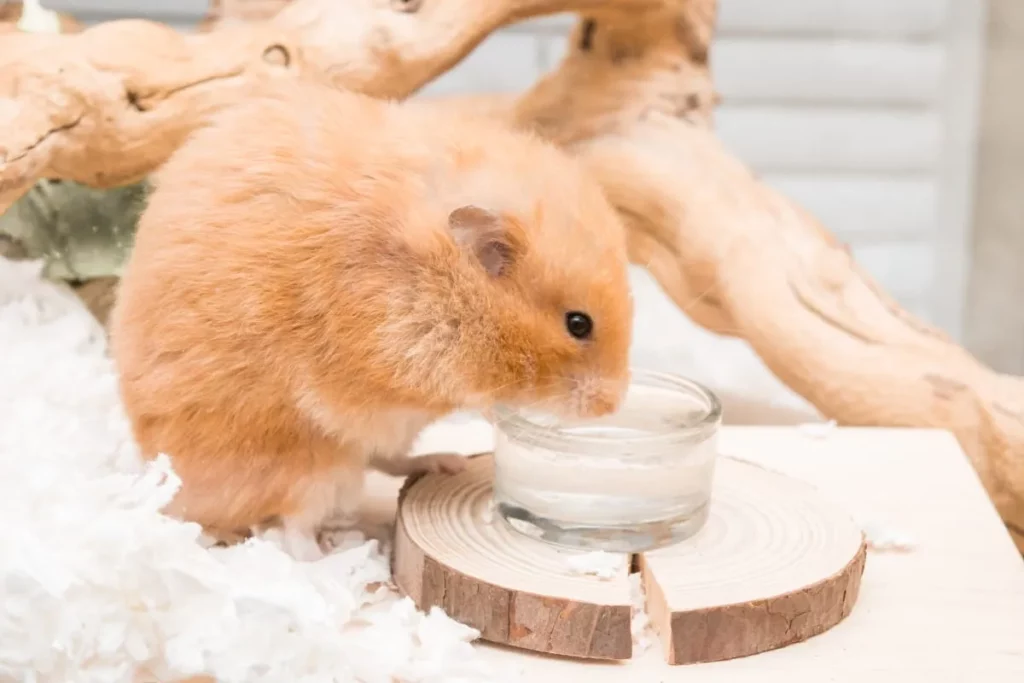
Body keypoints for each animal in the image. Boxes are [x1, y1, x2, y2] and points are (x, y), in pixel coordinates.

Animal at [105, 80, 630, 561]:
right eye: (578, 324)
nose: (612, 407)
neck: (444, 281)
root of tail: (176, 490)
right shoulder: (391, 358)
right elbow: (474, 397)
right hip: (309, 463)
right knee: (293, 526)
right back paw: (326, 559)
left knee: (388, 459)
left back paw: (446, 464)